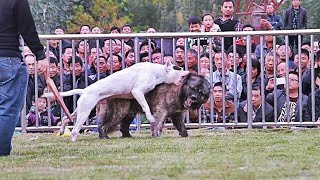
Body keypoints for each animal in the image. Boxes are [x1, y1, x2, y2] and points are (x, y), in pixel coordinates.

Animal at [45, 61, 190, 141]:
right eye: (178, 68)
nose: (188, 71)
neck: (158, 72)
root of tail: (84, 90)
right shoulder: (137, 92)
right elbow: (145, 106)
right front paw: (151, 118)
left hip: (81, 110)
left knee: (65, 118)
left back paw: (62, 131)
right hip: (85, 111)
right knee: (75, 129)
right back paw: (73, 140)